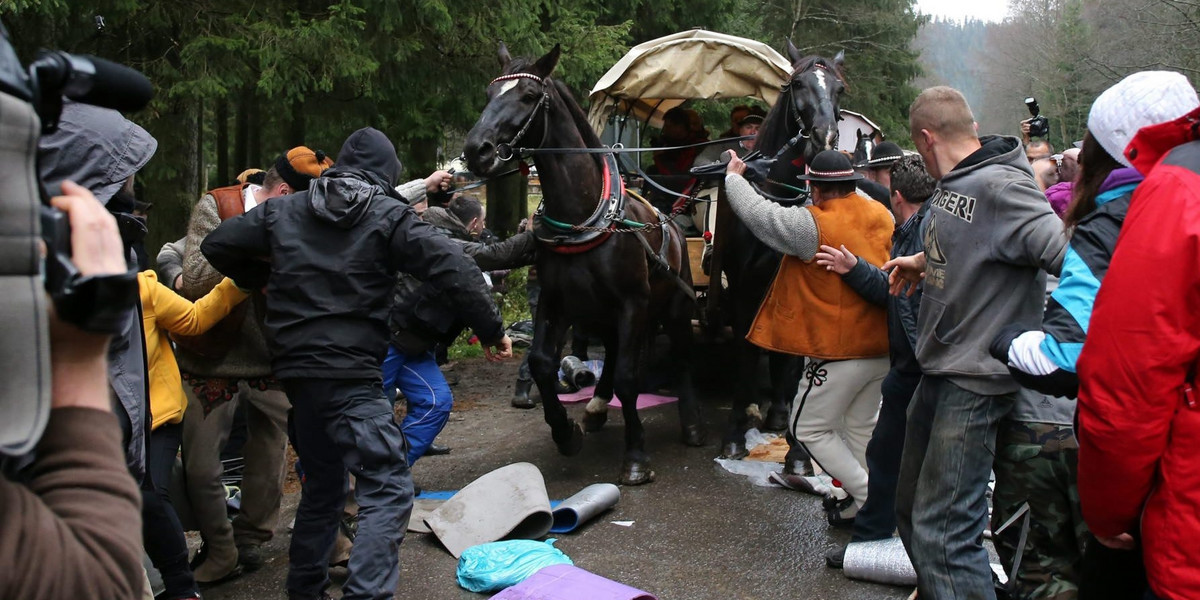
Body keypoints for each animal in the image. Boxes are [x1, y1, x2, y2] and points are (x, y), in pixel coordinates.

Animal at [460, 45, 700, 487]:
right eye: (487, 94)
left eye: (528, 97)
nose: (476, 150)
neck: (582, 217)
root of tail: (672, 224)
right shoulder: (556, 302)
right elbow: (541, 363)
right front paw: (564, 432)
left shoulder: (632, 303)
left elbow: (628, 377)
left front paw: (635, 456)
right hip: (602, 314)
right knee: (615, 354)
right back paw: (596, 408)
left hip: (672, 305)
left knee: (680, 354)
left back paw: (691, 423)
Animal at [705, 44, 849, 460]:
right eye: (797, 83)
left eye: (840, 89)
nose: (825, 137)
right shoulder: (742, 286)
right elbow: (746, 347)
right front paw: (735, 431)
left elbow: (794, 354)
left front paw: (796, 445)